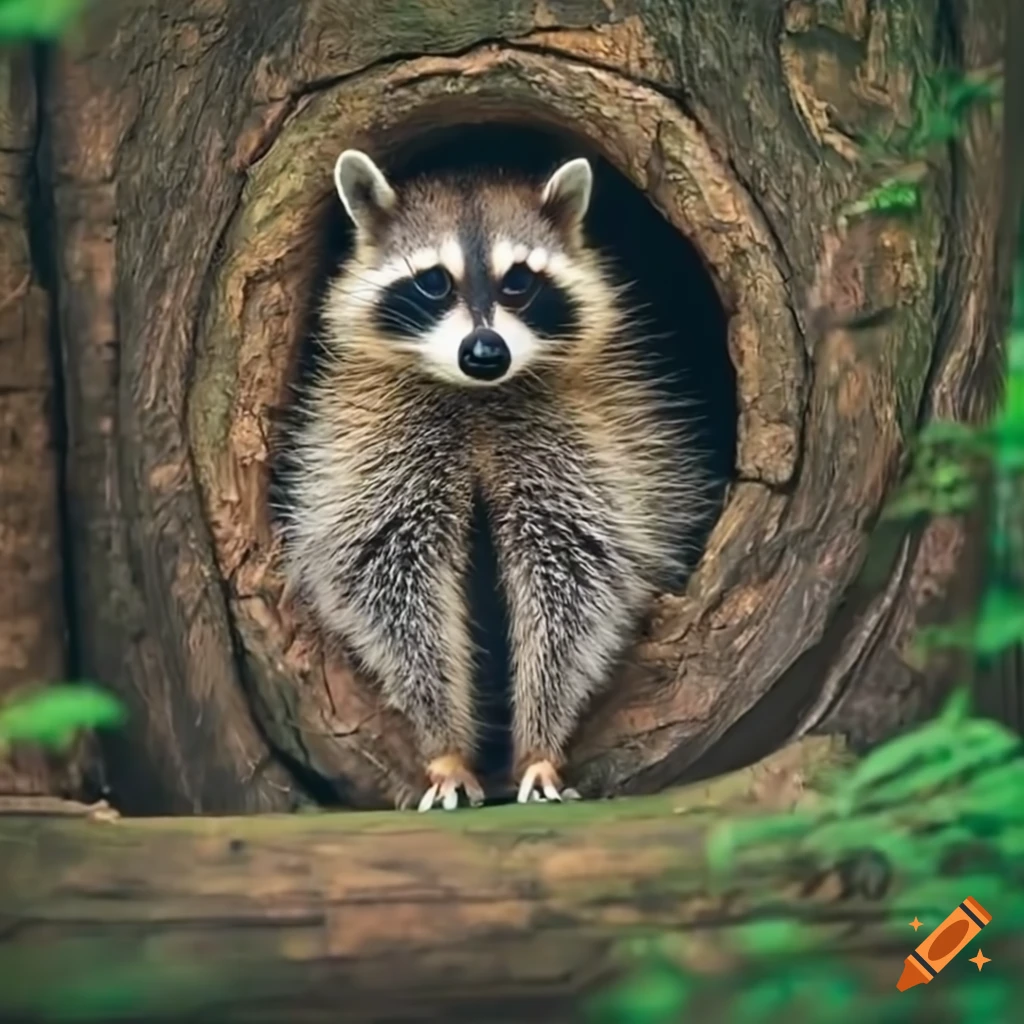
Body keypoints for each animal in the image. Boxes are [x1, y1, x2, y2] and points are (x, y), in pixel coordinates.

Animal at [278, 148, 709, 811]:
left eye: (519, 282)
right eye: (434, 282)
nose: (485, 353)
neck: (478, 396)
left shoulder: (586, 441)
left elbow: (578, 578)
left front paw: (540, 744)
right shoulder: (370, 445)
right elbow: (387, 580)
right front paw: (445, 745)